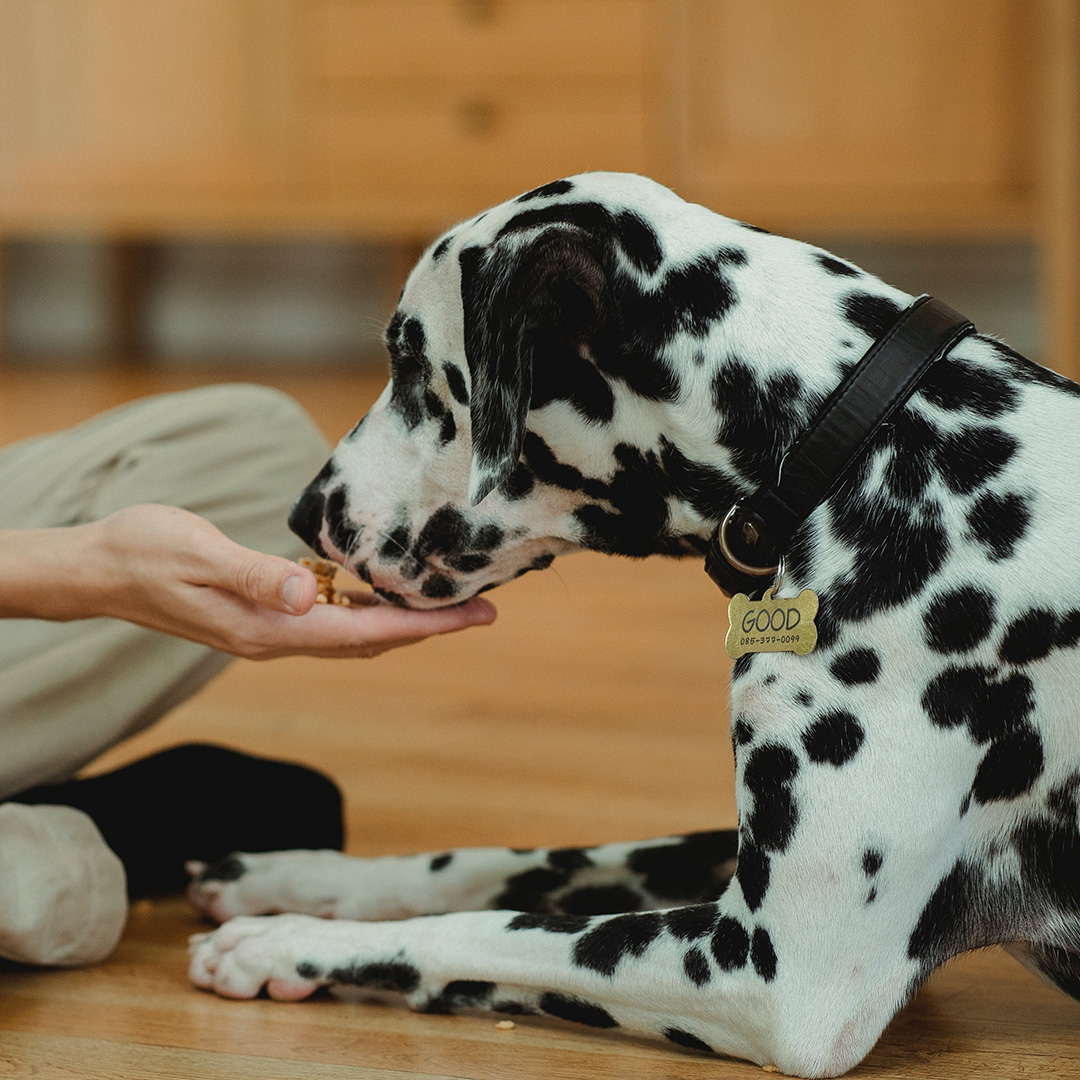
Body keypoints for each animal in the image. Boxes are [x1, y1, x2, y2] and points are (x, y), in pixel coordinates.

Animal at [187, 172, 1080, 1075]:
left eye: (409, 361)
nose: (305, 514)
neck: (858, 447)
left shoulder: (775, 976)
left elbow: (482, 927)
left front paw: (281, 941)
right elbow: (499, 862)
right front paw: (300, 880)